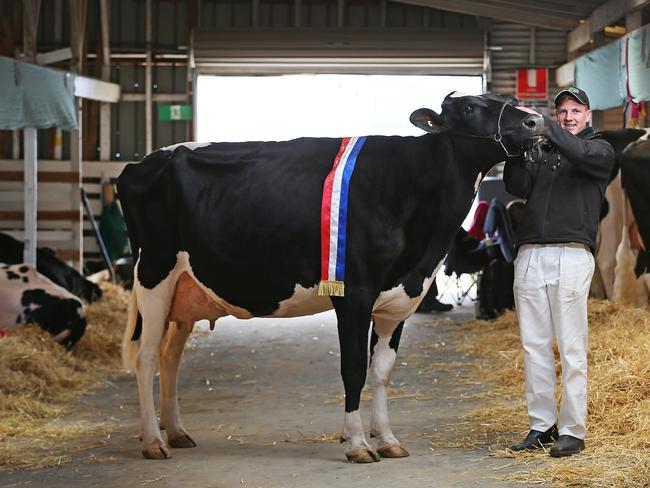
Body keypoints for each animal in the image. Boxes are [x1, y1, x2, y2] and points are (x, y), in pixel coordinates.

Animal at [116, 91, 540, 462]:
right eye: (469, 108)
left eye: (504, 99)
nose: (534, 120)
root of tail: (141, 163)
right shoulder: (354, 294)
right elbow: (353, 369)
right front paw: (357, 444)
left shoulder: (399, 299)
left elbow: (381, 371)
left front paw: (388, 439)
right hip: (153, 275)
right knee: (147, 357)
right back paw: (154, 442)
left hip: (183, 291)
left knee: (170, 358)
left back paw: (177, 432)